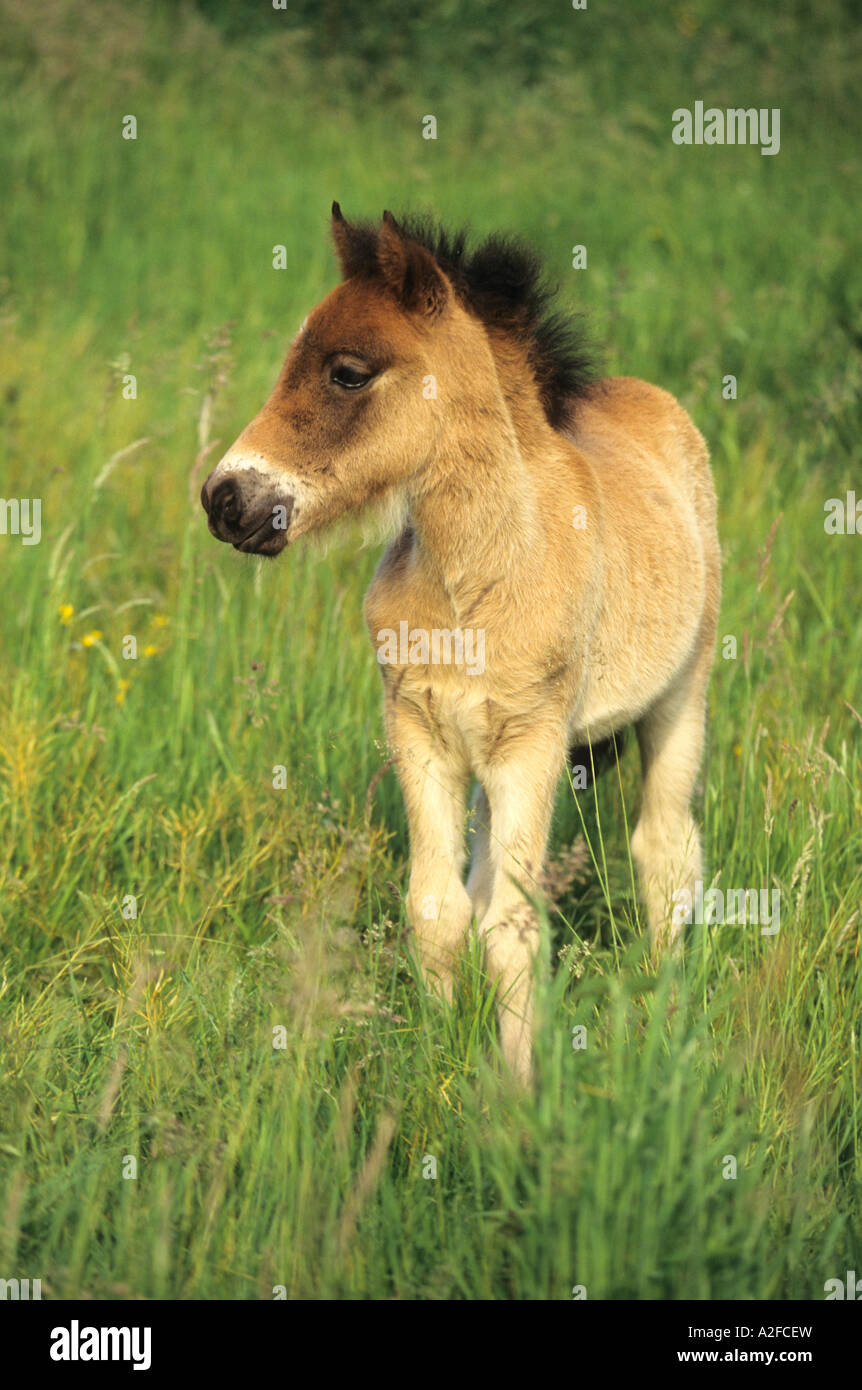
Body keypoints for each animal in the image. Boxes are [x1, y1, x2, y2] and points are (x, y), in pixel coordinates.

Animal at [201, 208, 722, 1084]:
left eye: (348, 373)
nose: (225, 498)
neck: (475, 576)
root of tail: (648, 397)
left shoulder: (533, 745)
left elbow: (512, 925)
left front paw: (517, 1089)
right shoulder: (421, 732)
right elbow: (439, 909)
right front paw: (436, 1062)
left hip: (682, 696)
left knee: (665, 849)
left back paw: (665, 997)